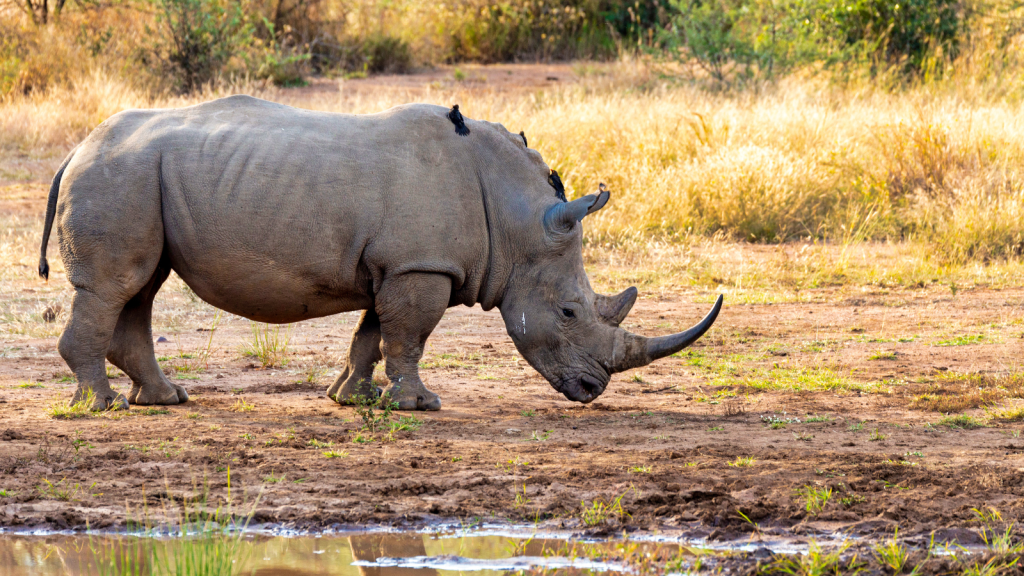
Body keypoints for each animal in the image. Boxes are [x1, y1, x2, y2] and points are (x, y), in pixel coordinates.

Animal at [37, 95, 720, 407]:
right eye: (570, 313)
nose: (591, 389)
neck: (517, 218)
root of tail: (75, 149)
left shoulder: (400, 264)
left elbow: (373, 332)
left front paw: (352, 398)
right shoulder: (421, 266)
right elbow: (409, 334)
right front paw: (419, 405)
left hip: (136, 178)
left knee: (140, 286)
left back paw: (164, 400)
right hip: (119, 175)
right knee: (116, 286)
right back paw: (100, 406)